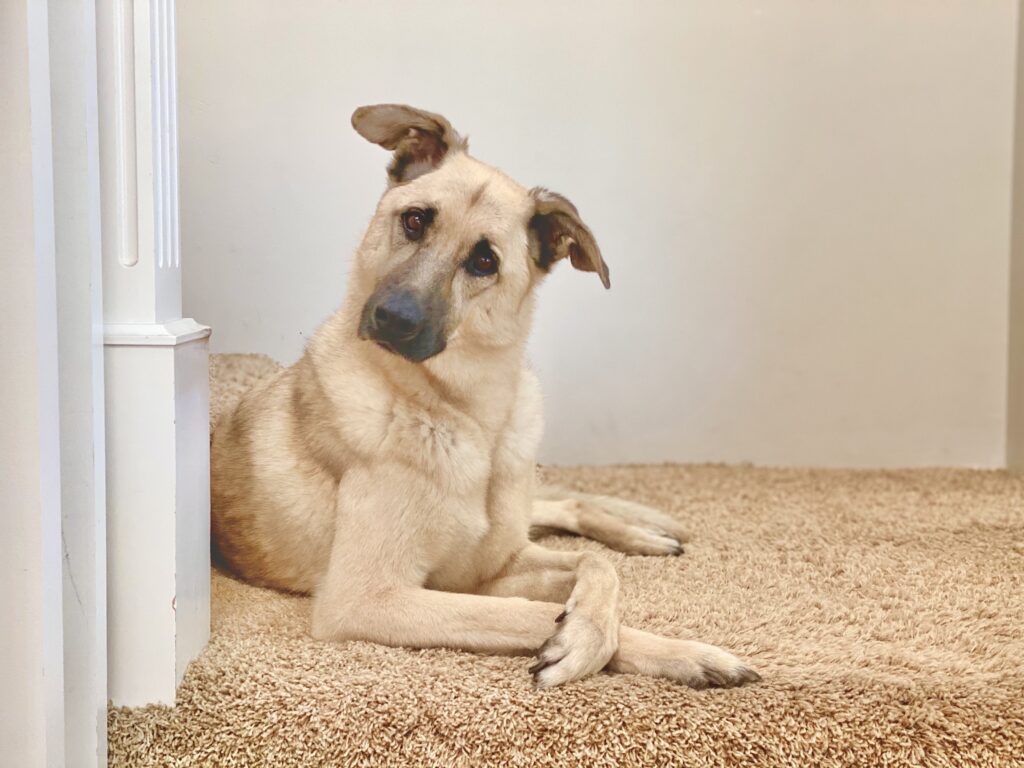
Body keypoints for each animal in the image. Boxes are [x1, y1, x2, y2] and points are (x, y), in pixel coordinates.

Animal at [214, 103, 761, 692]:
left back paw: (644, 534)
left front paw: (611, 632)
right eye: (414, 221)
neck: (469, 417)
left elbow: (597, 566)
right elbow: (529, 612)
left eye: (484, 261)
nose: (393, 320)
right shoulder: (369, 598)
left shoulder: (494, 566)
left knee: (563, 510)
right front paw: (602, 644)